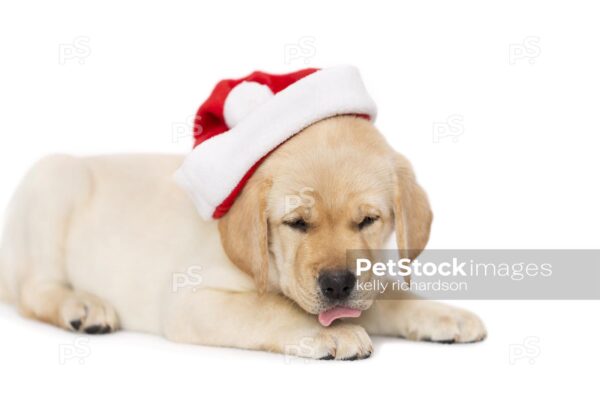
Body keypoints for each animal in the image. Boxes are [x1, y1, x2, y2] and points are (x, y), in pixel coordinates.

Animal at [0, 115, 488, 360]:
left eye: (368, 220)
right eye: (296, 223)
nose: (336, 284)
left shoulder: (364, 282)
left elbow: (385, 294)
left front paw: (443, 315)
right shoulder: (190, 302)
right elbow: (270, 308)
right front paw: (335, 334)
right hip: (53, 180)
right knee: (35, 290)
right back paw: (81, 305)